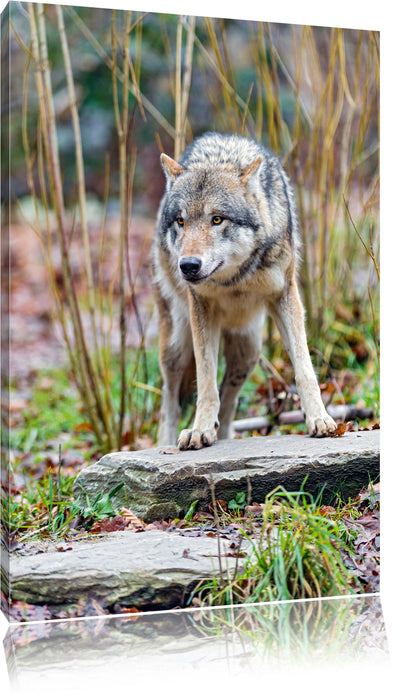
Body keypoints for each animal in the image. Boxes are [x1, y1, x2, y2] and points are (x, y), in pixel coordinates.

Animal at [152, 132, 336, 449]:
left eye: (217, 219)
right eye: (181, 221)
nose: (188, 266)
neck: (235, 281)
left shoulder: (285, 296)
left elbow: (304, 369)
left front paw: (319, 419)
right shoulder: (201, 308)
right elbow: (206, 380)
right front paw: (199, 429)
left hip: (248, 353)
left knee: (229, 403)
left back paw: (223, 436)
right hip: (175, 347)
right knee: (170, 403)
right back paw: (170, 440)